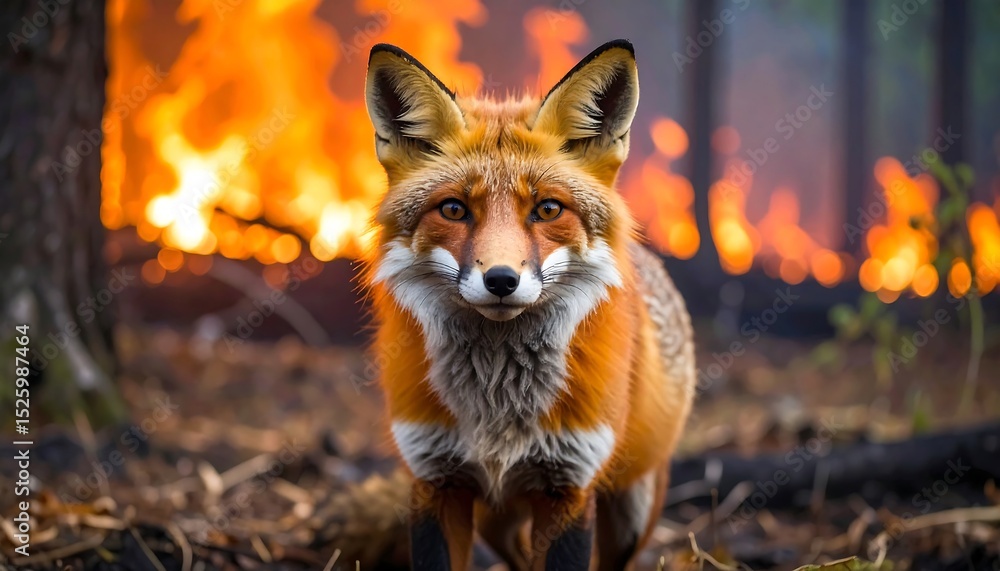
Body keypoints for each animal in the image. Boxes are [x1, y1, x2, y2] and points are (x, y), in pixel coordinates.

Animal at [361, 39, 696, 571]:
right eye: (454, 209)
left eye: (548, 209)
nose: (501, 280)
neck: (497, 408)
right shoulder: (435, 479)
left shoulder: (569, 486)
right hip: (497, 517)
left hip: (632, 507)